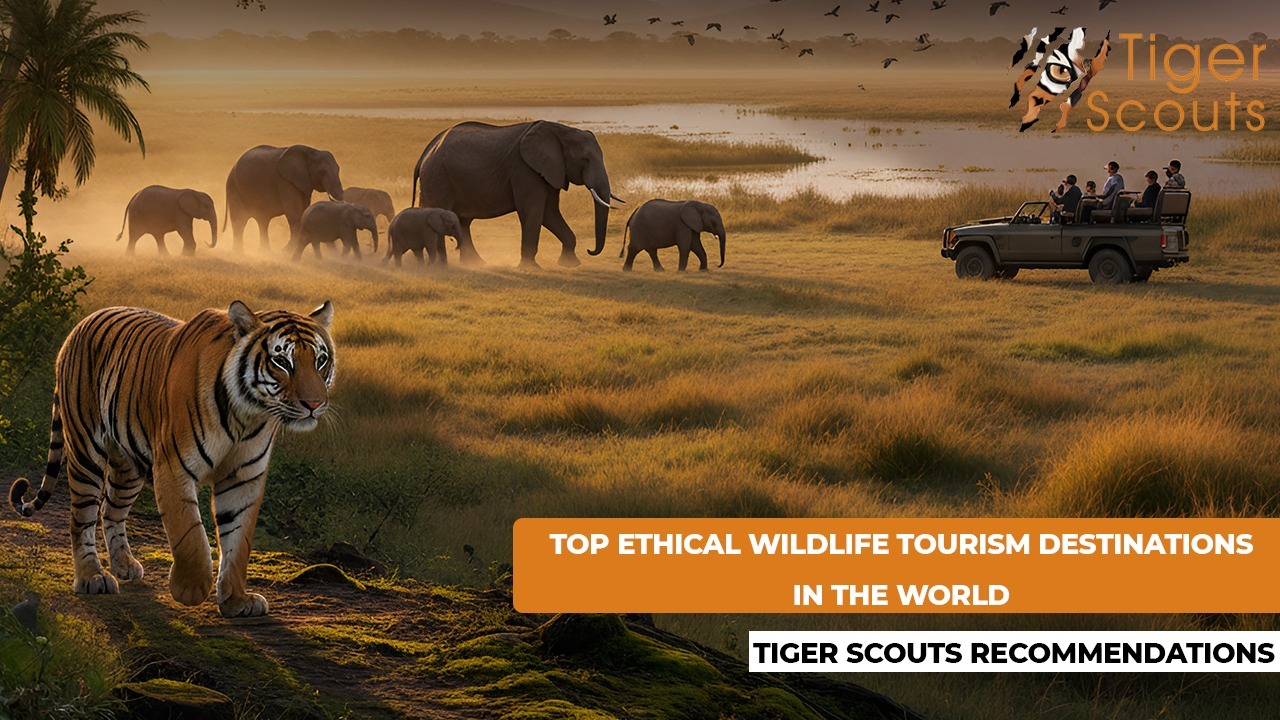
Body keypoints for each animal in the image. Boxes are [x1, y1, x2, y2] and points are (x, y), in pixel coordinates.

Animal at [8, 300, 335, 618]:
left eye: (321, 361)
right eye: (282, 362)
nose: (314, 404)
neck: (247, 414)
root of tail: (79, 326)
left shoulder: (243, 478)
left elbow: (238, 541)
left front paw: (236, 601)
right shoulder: (174, 467)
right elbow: (190, 535)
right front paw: (190, 589)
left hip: (128, 468)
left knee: (110, 510)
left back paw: (124, 565)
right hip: (86, 450)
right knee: (82, 516)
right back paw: (92, 577)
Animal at [411, 120, 623, 269]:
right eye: (585, 159)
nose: (590, 250)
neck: (561, 130)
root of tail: (425, 152)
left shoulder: (549, 170)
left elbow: (550, 212)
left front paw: (570, 264)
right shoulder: (524, 168)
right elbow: (533, 211)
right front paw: (531, 268)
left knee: (463, 221)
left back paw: (476, 263)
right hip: (437, 177)